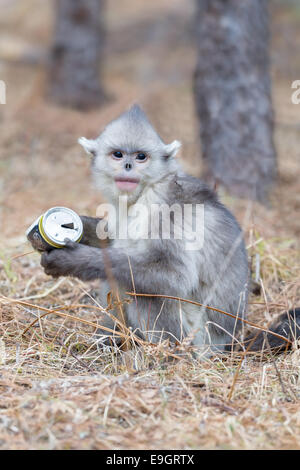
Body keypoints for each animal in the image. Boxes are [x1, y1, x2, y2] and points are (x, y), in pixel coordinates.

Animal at [38, 105, 298, 352]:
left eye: (141, 156)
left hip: (198, 338)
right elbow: (111, 238)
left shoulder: (165, 205)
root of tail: (229, 343)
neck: (147, 188)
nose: (128, 165)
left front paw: (72, 260)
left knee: (145, 291)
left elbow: (174, 275)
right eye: (118, 154)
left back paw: (164, 355)